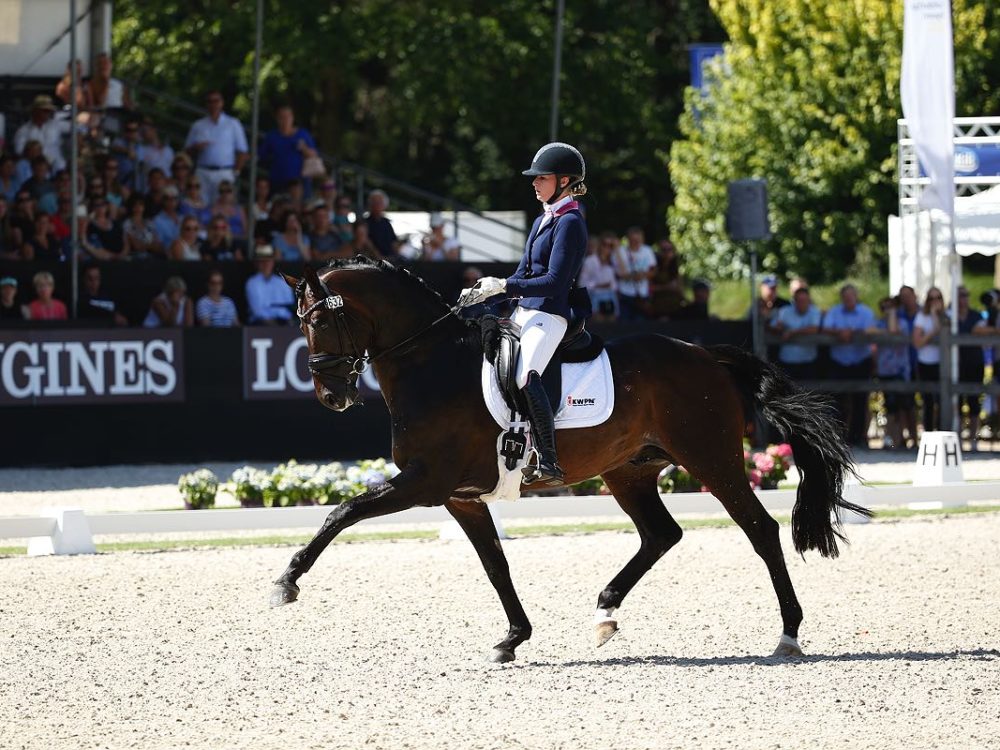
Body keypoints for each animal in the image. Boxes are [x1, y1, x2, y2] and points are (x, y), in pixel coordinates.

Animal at [270, 258, 872, 664]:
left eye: (317, 322)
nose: (331, 396)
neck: (430, 363)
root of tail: (704, 353)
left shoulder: (423, 482)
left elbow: (343, 512)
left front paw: (287, 582)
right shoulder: (459, 497)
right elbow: (495, 564)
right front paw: (512, 639)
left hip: (711, 460)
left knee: (759, 529)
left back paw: (788, 633)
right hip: (628, 470)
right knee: (662, 534)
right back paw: (605, 612)